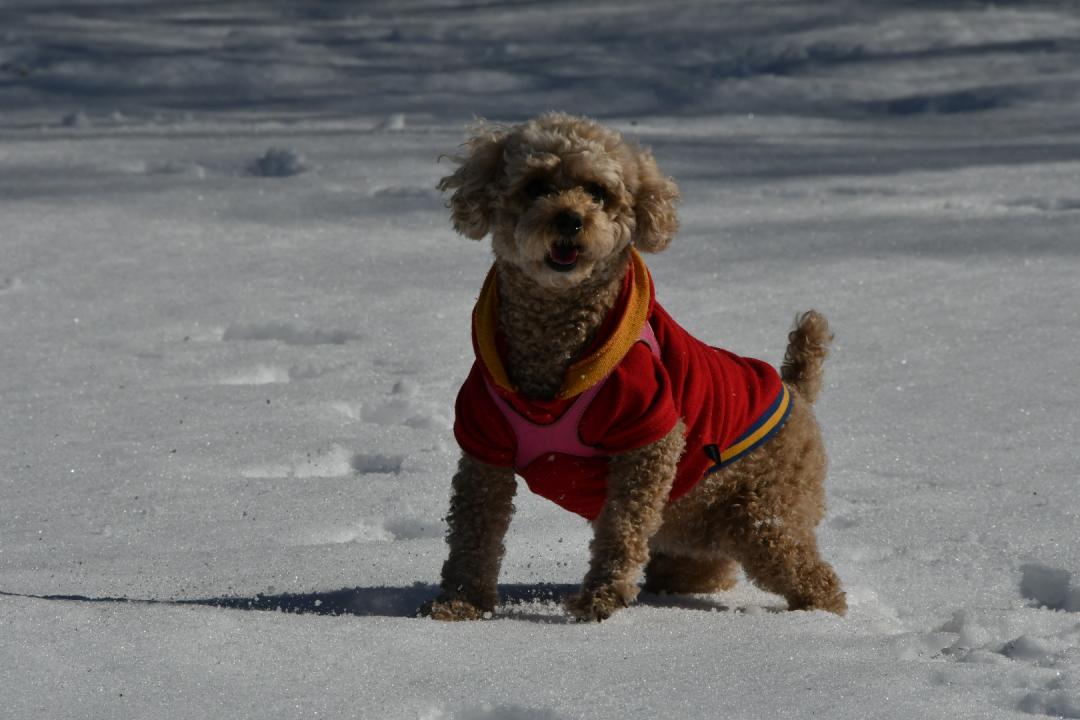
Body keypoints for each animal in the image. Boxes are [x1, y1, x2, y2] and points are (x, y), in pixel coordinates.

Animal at [419, 111, 842, 621]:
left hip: (764, 513)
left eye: (598, 191)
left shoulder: (649, 432)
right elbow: (474, 530)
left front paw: (600, 598)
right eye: (535, 186)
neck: (555, 342)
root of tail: (793, 387)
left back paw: (821, 616)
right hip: (691, 525)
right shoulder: (484, 440)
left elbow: (622, 526)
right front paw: (460, 603)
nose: (570, 219)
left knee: (814, 575)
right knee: (705, 568)